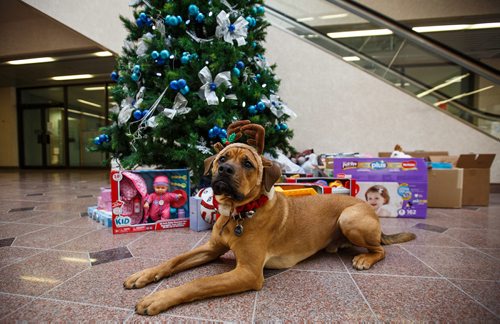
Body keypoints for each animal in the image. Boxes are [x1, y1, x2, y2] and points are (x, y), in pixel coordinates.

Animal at [123, 121, 416, 314]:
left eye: (248, 164)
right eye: (222, 158)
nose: (225, 170)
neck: (238, 214)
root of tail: (362, 204)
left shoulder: (248, 272)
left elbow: (198, 283)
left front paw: (159, 299)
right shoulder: (211, 249)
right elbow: (173, 260)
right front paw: (144, 275)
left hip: (349, 218)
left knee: (380, 249)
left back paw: (366, 259)